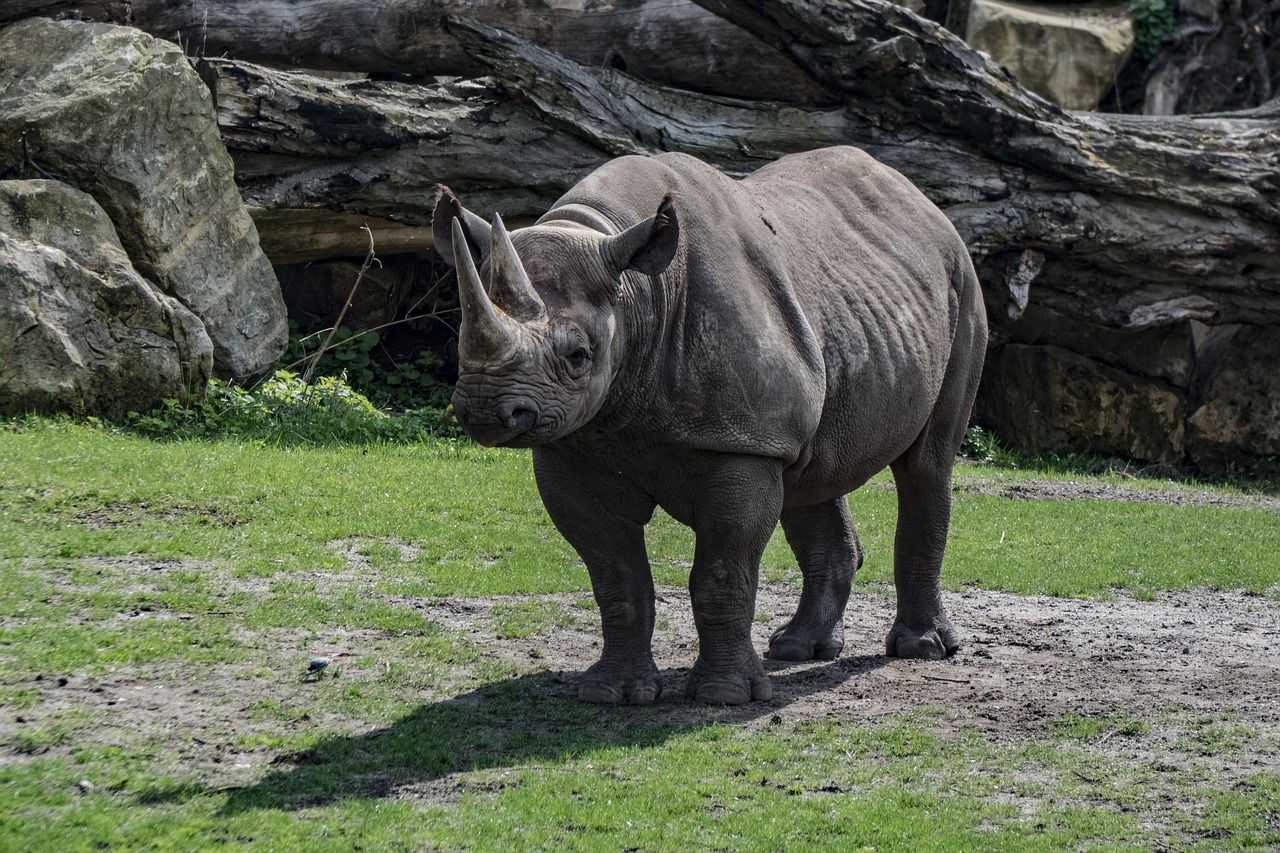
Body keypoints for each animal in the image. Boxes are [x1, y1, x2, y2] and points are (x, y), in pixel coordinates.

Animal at [435, 146, 983, 701]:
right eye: (457, 339)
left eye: (578, 356)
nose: (486, 409)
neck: (637, 294)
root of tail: (923, 203)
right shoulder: (573, 449)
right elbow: (615, 577)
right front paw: (613, 693)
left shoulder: (742, 444)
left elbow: (721, 575)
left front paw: (725, 695)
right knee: (812, 471)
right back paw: (797, 649)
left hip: (962, 282)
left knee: (926, 465)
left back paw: (921, 648)